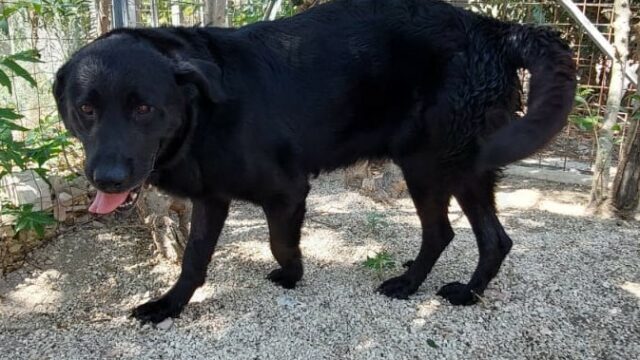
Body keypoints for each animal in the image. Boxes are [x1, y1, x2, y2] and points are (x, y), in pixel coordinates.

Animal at [52, 0, 576, 324]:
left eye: (144, 108)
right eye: (86, 109)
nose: (107, 178)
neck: (204, 113)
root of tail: (492, 27)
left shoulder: (288, 190)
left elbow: (280, 242)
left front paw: (292, 276)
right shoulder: (211, 199)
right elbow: (194, 258)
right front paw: (170, 305)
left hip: (430, 165)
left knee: (446, 232)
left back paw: (414, 285)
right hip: (458, 168)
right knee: (490, 238)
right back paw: (461, 291)